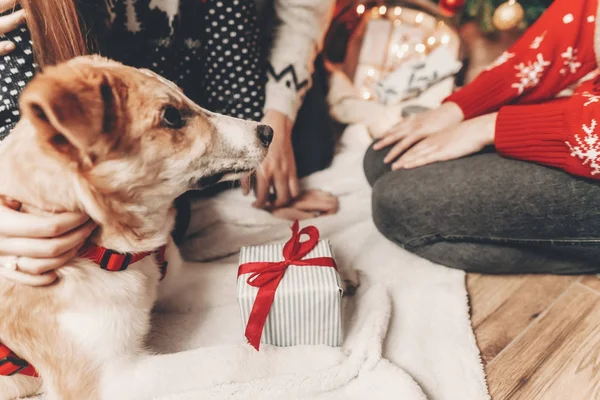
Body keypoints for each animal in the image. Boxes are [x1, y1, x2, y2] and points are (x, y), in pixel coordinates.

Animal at [0, 56, 272, 400]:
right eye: (171, 116)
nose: (268, 131)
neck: (104, 251)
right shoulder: (111, 380)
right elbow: (235, 356)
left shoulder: (182, 280)